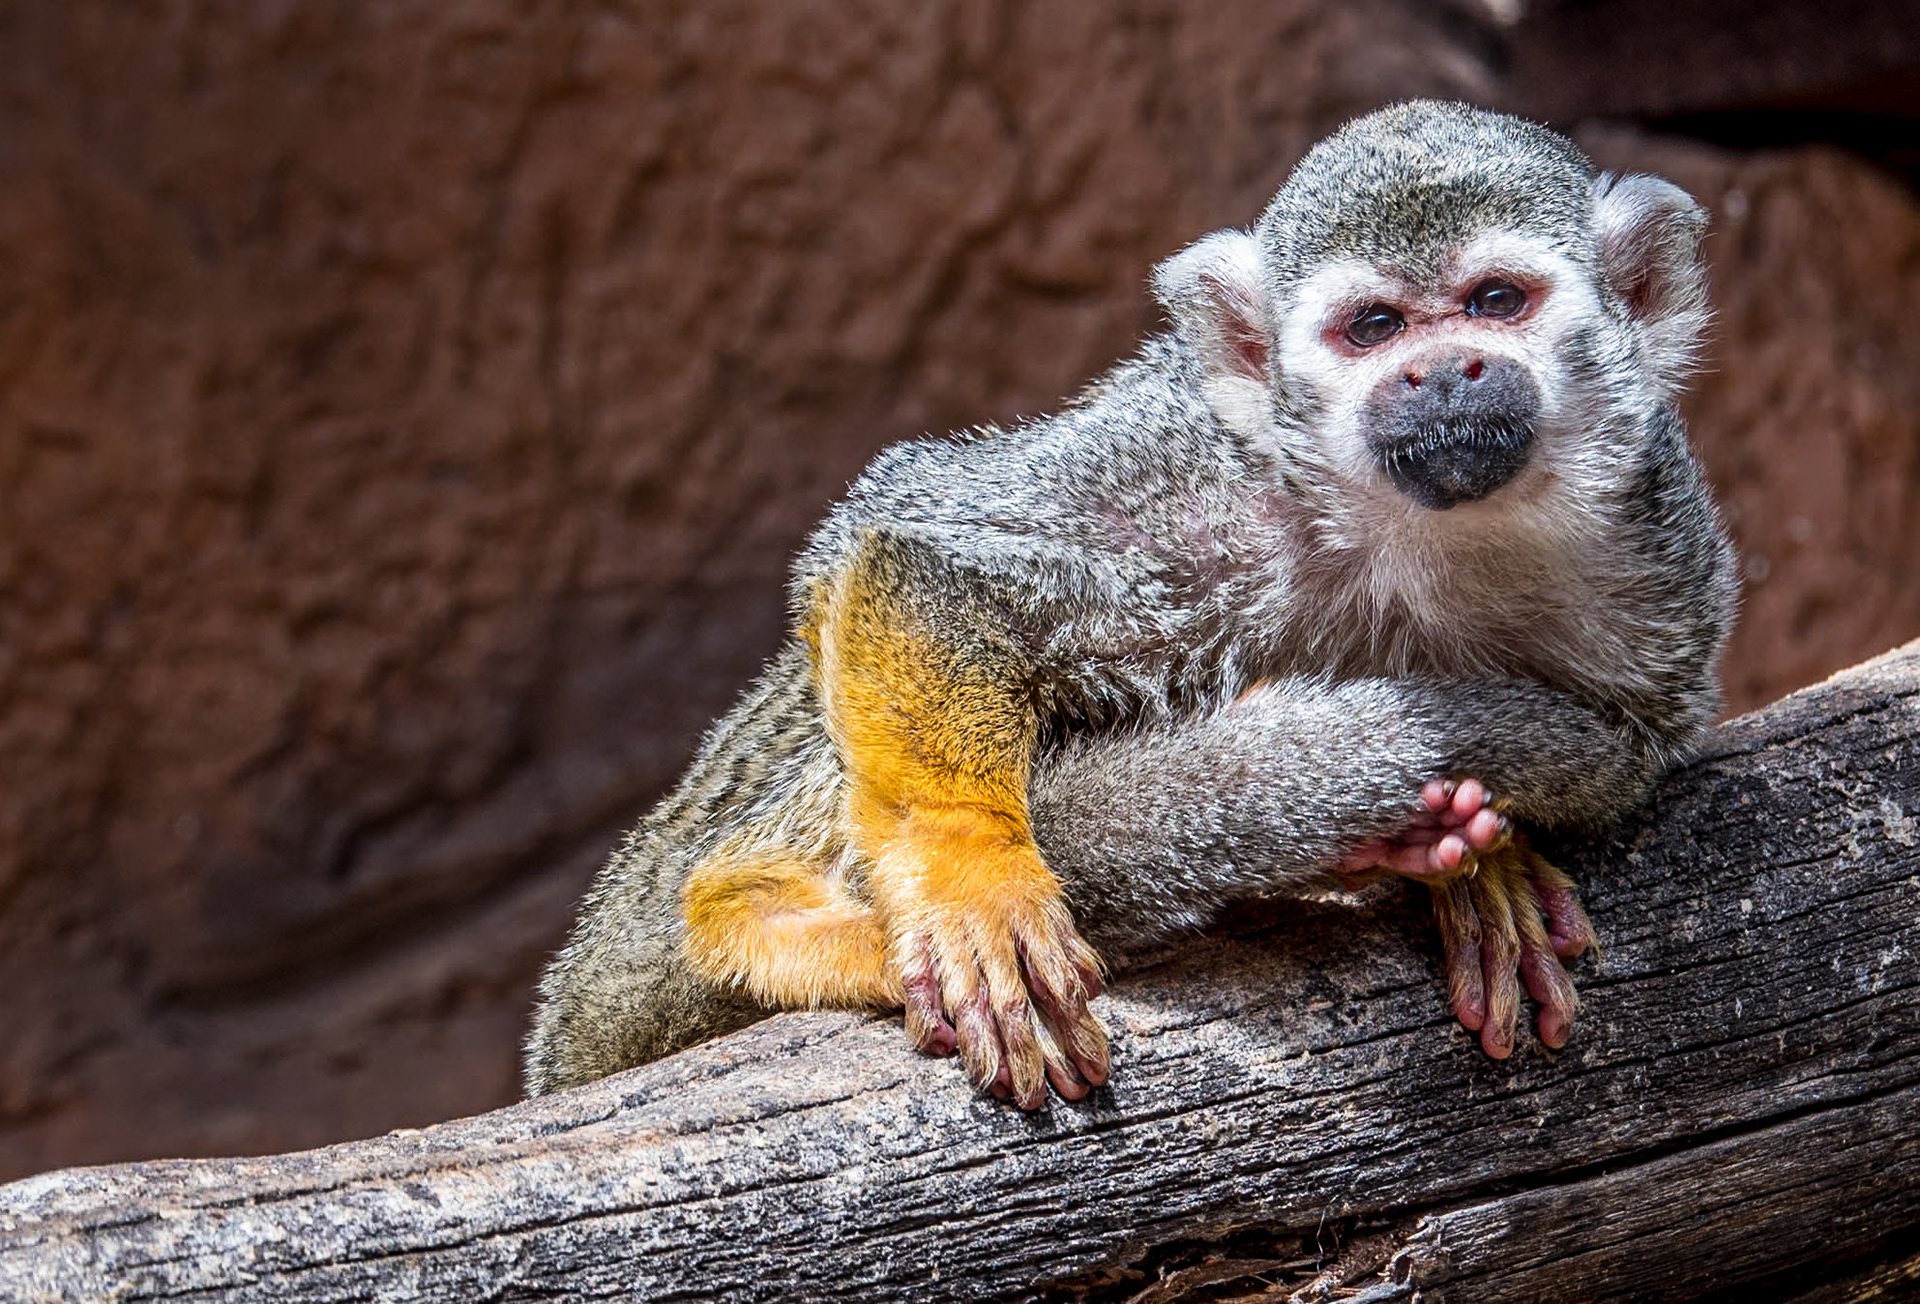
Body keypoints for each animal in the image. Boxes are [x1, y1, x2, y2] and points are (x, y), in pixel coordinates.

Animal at [524, 101, 1737, 1109]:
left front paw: (1491, 866)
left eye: (1495, 303)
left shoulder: (1663, 574)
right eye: (1374, 327)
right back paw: (747, 907)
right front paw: (973, 878)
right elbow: (915, 541)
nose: (1441, 375)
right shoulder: (1193, 472)